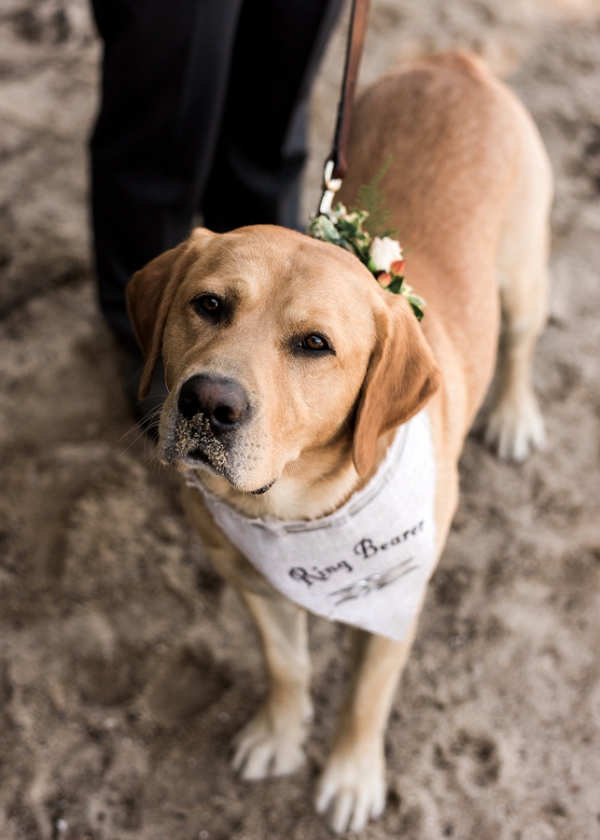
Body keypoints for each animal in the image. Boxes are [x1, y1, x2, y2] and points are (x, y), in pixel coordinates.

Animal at [129, 52, 552, 832]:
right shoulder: (253, 586)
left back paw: (513, 415)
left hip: (523, 279)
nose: (208, 402)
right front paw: (280, 735)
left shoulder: (394, 598)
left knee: (520, 343)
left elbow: (364, 699)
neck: (290, 508)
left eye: (314, 345)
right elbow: (287, 666)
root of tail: (455, 61)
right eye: (208, 304)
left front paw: (352, 778)